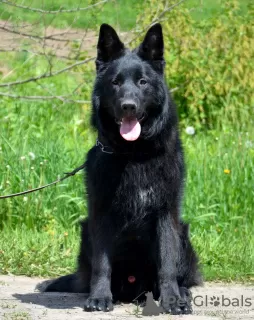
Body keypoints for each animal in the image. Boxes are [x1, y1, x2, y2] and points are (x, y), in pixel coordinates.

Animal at [44, 23, 202, 314]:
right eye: (115, 83)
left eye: (142, 82)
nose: (128, 106)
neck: (134, 154)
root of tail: (134, 290)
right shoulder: (101, 214)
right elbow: (102, 264)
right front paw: (99, 297)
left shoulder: (166, 214)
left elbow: (167, 263)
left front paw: (172, 299)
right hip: (86, 230)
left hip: (183, 233)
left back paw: (180, 292)